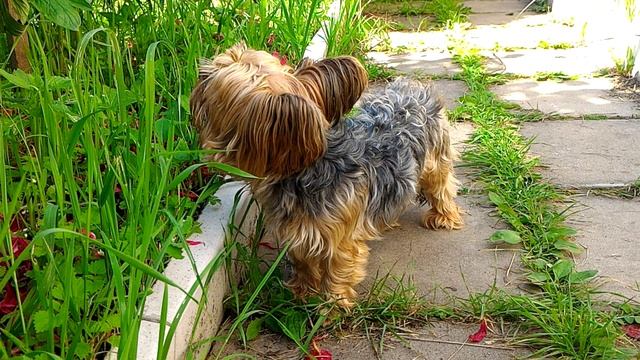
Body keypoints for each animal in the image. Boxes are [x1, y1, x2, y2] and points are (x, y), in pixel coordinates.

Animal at [192, 42, 462, 306]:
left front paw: (332, 306)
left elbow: (337, 272)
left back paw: (444, 217)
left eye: (220, 77)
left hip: (435, 160)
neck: (305, 170)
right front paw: (301, 293)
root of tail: (412, 85)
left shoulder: (340, 240)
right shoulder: (298, 234)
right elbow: (303, 263)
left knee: (442, 187)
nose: (201, 70)